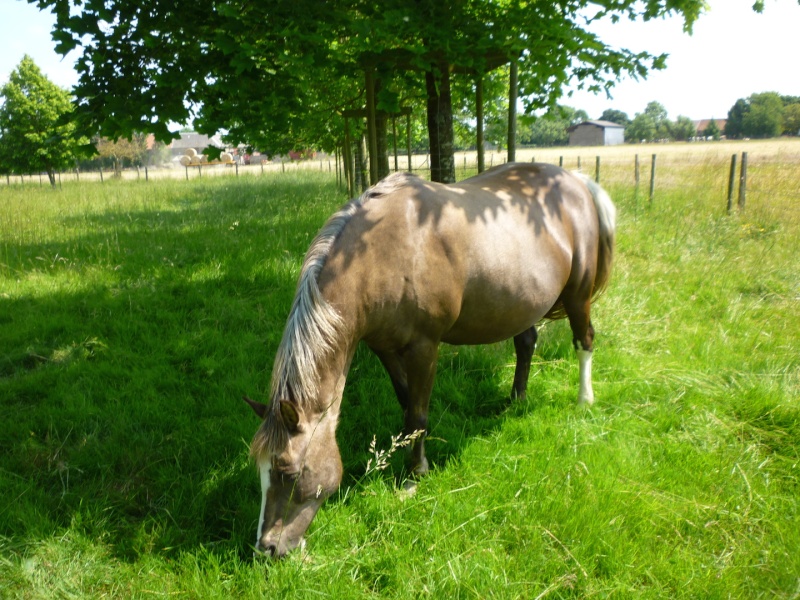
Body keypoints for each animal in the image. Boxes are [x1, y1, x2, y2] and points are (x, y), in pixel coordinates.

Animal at [247, 161, 616, 556]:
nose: (266, 548)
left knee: (584, 341)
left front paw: (414, 476)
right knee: (526, 343)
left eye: (288, 471)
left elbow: (417, 414)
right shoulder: (385, 348)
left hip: (578, 294)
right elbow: (407, 403)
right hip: (522, 304)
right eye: (261, 469)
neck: (382, 253)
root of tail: (576, 180)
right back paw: (517, 399)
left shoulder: (424, 346)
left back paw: (584, 399)